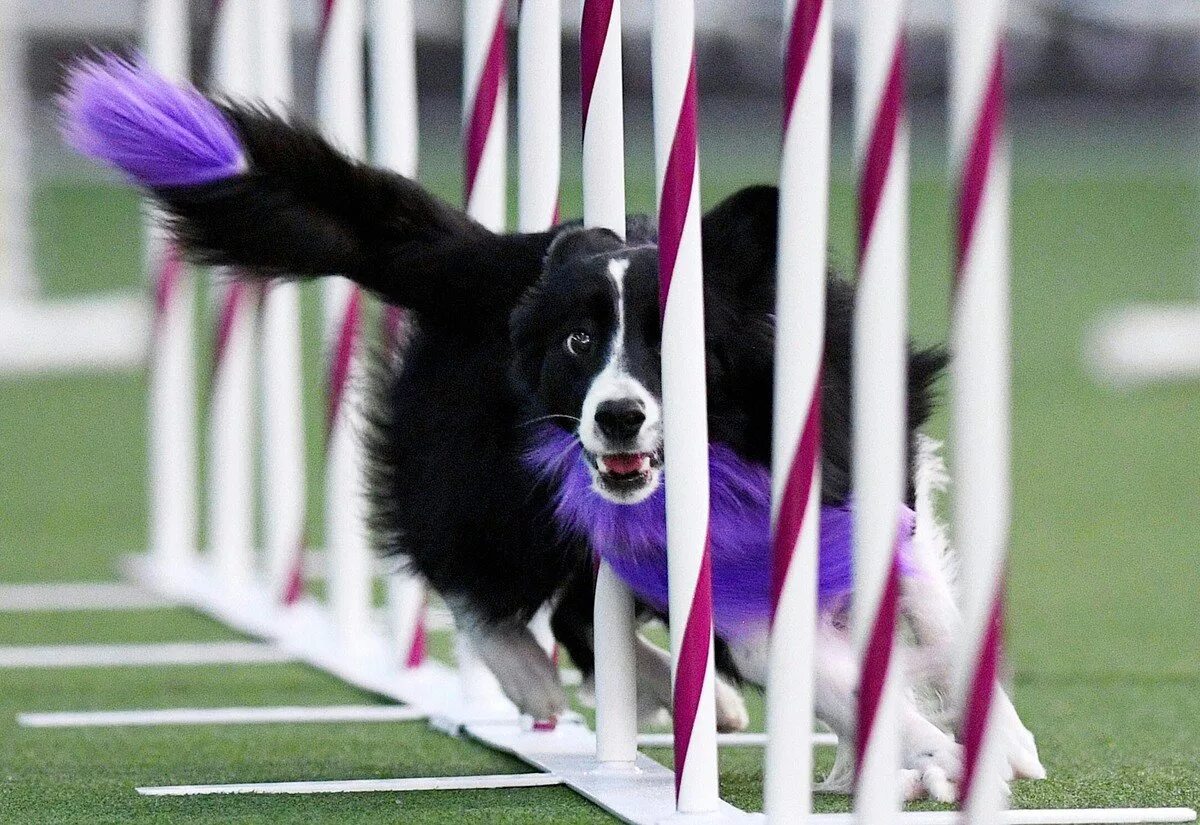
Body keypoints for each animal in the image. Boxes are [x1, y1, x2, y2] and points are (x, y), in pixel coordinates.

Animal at [63, 53, 1041, 801]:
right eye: (580, 342)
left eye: (675, 342)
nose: (616, 415)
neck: (744, 435)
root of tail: (493, 255)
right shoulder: (732, 578)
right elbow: (822, 666)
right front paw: (936, 752)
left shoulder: (864, 500)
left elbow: (937, 628)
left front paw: (984, 745)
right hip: (493, 482)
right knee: (473, 575)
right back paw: (540, 677)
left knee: (576, 610)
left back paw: (684, 695)